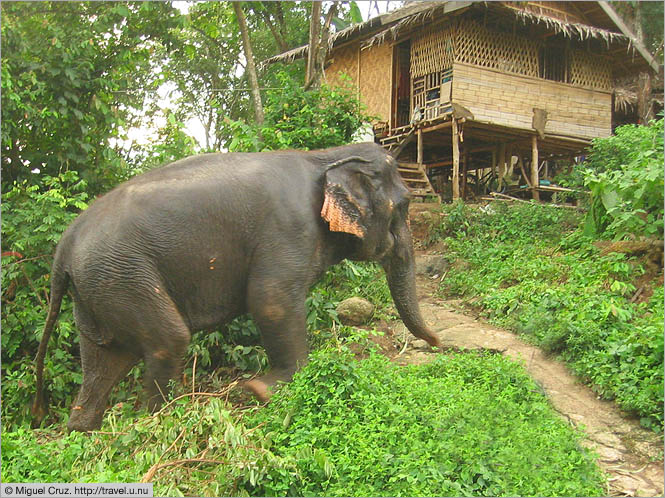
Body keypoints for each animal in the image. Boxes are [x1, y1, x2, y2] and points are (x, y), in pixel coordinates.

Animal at [33, 141, 444, 432]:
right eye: (405, 205)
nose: (437, 342)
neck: (325, 156)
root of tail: (65, 243)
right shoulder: (288, 228)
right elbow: (271, 300)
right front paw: (265, 391)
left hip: (98, 285)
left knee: (106, 358)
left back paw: (83, 432)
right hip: (123, 273)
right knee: (168, 340)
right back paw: (159, 422)